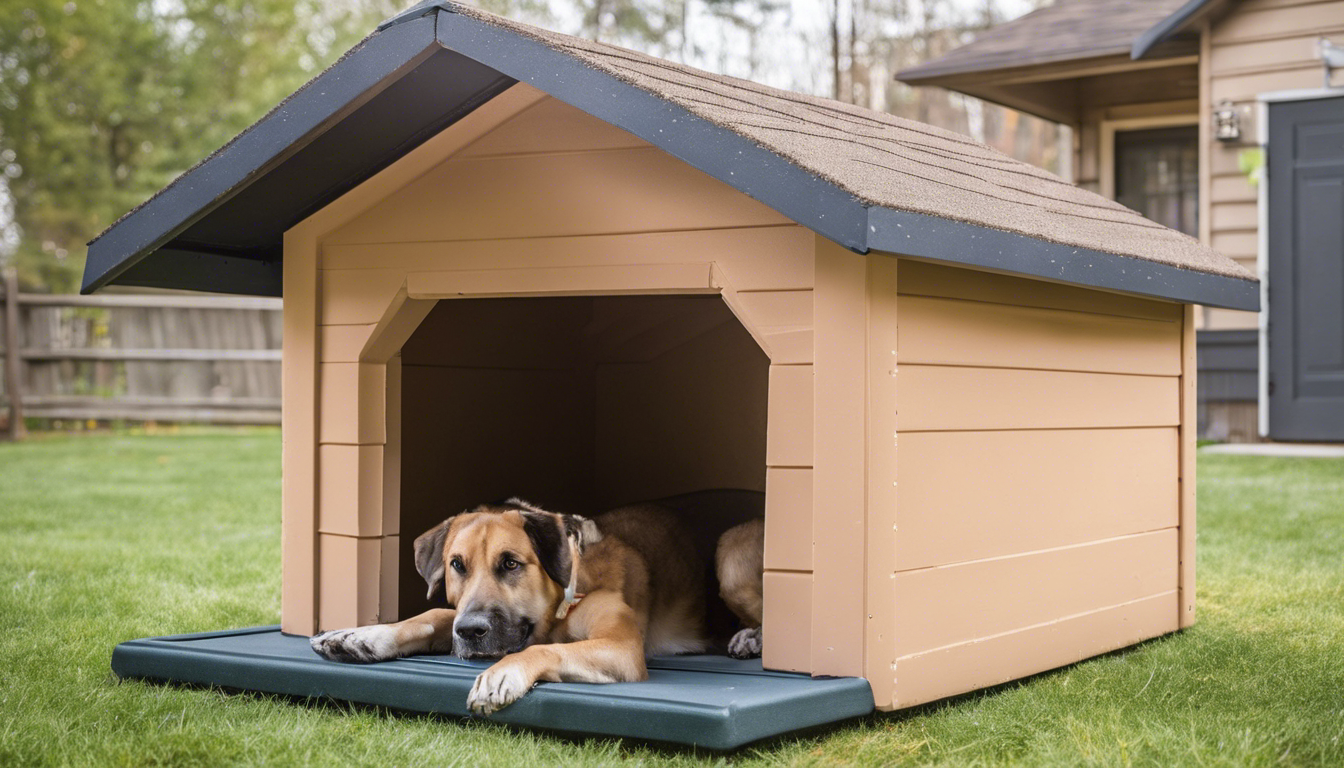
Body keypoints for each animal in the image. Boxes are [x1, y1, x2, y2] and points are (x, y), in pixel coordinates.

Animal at [307, 494, 763, 720]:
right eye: (457, 565)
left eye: (511, 563)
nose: (470, 632)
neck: (561, 604)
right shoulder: (460, 615)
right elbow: (433, 616)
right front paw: (361, 635)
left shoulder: (622, 647)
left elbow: (547, 648)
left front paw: (502, 673)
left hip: (732, 553)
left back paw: (752, 638)